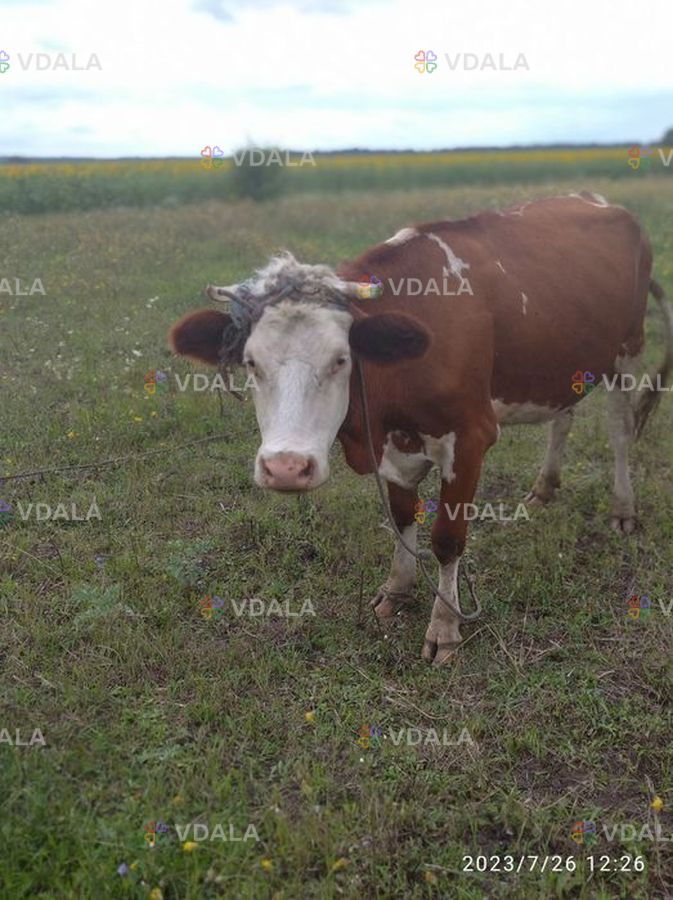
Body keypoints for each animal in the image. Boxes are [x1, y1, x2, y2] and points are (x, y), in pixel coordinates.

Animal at [168, 192, 673, 665]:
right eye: (251, 363)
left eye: (341, 359)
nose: (286, 467)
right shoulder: (393, 449)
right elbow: (400, 519)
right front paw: (395, 590)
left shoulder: (470, 438)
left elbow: (447, 539)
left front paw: (444, 627)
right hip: (563, 364)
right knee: (563, 416)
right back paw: (545, 487)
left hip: (627, 349)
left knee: (620, 429)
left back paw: (623, 508)